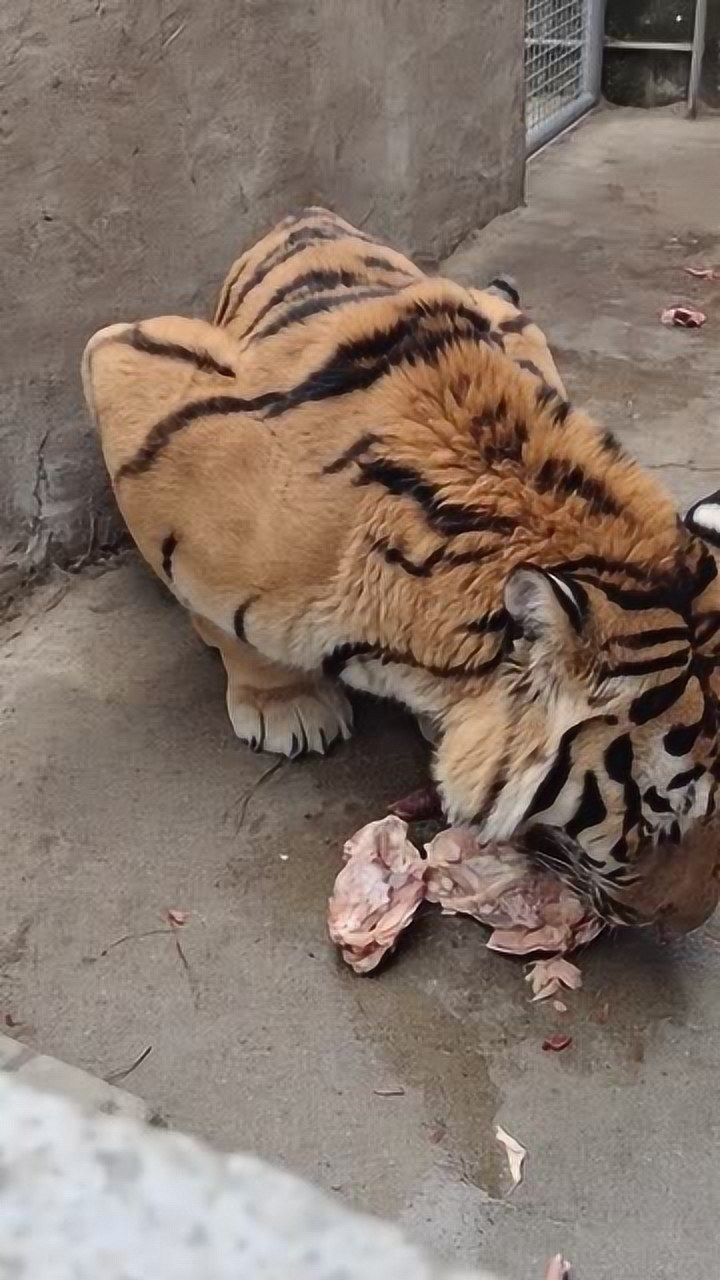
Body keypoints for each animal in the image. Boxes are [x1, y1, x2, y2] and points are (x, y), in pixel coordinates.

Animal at [81, 206, 720, 921]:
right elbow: (230, 625)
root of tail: (307, 212)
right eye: (658, 818)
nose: (694, 919)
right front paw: (284, 704)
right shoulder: (127, 362)